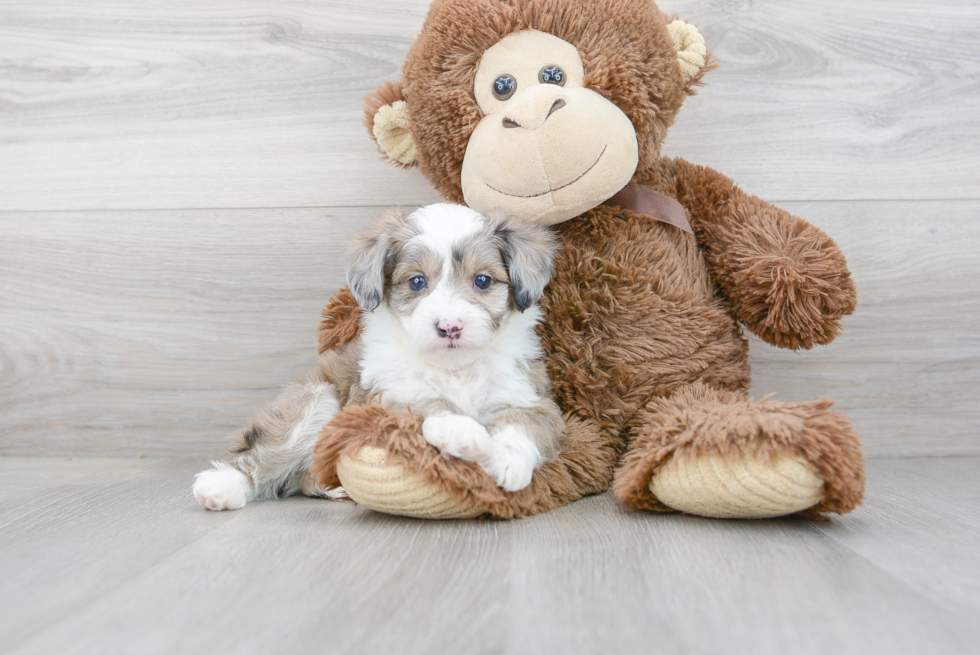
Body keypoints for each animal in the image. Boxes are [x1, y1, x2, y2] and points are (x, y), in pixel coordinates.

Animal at [192, 202, 564, 510]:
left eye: (483, 280)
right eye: (416, 282)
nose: (450, 327)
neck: (454, 367)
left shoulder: (533, 398)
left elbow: (522, 422)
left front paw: (507, 459)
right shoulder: (380, 399)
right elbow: (424, 401)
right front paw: (461, 430)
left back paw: (332, 487)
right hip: (314, 399)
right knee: (261, 455)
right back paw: (222, 486)